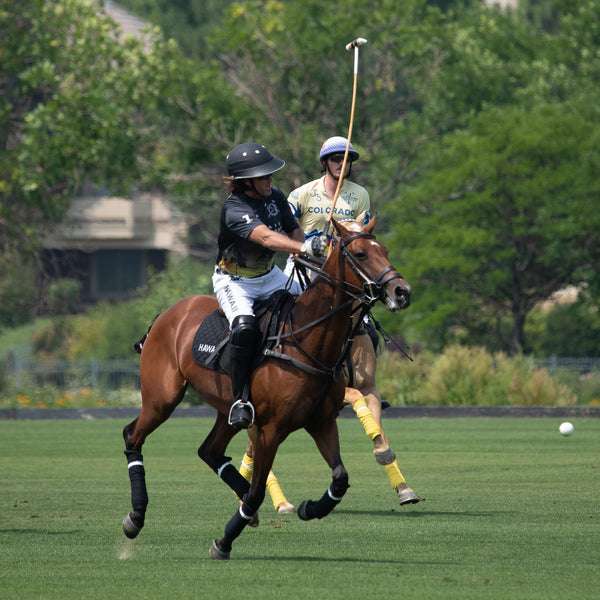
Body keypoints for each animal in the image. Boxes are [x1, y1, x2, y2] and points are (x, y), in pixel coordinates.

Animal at [122, 218, 412, 560]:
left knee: (209, 450)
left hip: (227, 409)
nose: (402, 291)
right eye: (360, 254)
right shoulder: (270, 430)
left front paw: (309, 508)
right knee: (133, 435)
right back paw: (135, 516)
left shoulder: (322, 422)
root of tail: (166, 314)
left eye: (385, 250)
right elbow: (258, 490)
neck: (308, 341)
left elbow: (340, 478)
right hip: (162, 398)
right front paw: (224, 542)